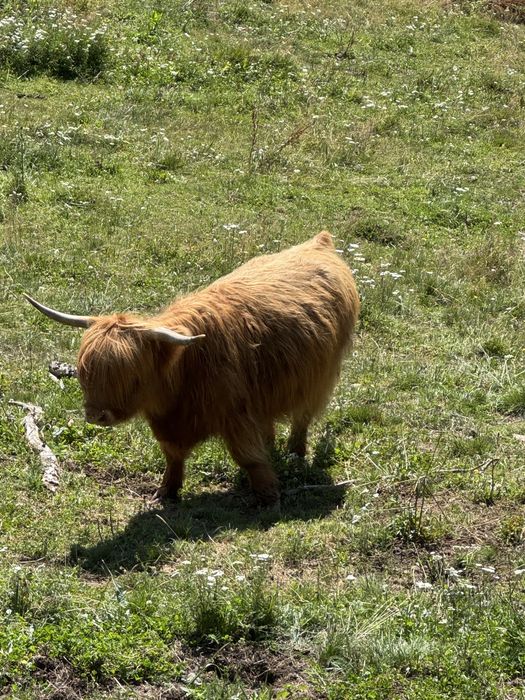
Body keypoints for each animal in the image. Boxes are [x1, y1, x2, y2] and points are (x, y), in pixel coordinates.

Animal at [24, 231, 360, 505]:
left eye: (132, 377)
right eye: (85, 374)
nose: (96, 415)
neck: (185, 372)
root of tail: (319, 243)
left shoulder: (236, 414)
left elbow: (248, 457)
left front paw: (268, 496)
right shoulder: (174, 424)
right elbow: (173, 456)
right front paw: (166, 491)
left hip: (320, 376)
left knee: (303, 416)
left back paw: (295, 453)